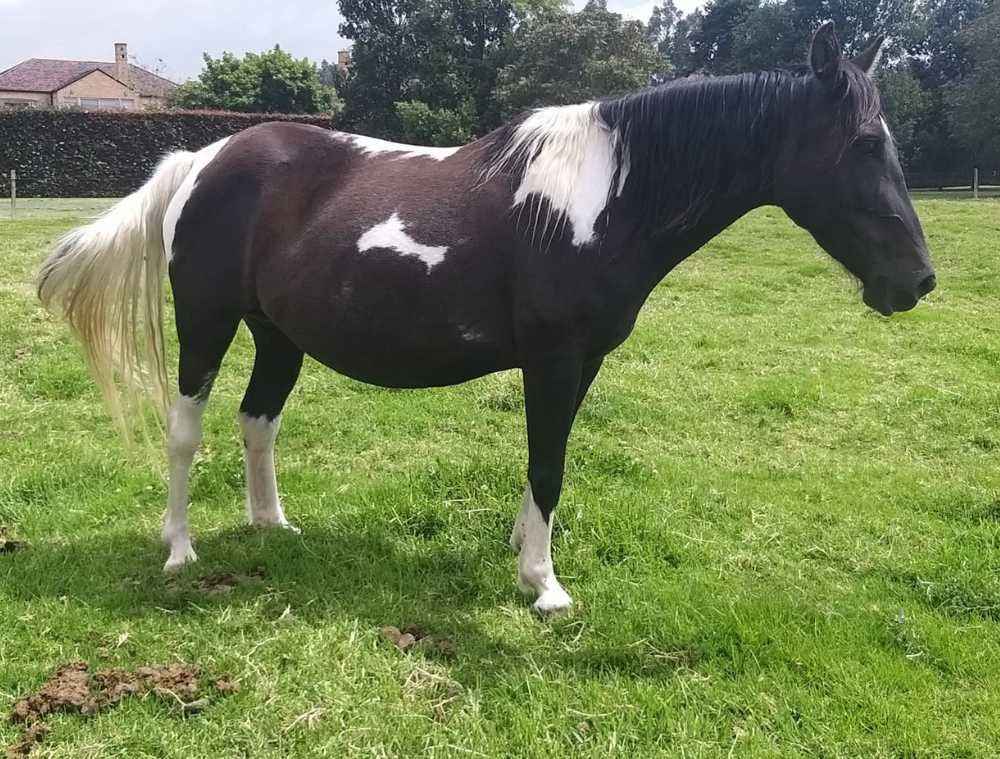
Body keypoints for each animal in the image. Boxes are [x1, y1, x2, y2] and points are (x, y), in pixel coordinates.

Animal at [38, 23, 935, 616]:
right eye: (863, 144)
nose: (918, 281)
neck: (605, 196)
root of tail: (203, 157)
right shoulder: (554, 358)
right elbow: (548, 464)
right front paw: (545, 585)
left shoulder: (583, 362)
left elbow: (549, 461)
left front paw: (523, 549)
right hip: (208, 321)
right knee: (185, 430)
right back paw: (179, 548)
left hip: (278, 335)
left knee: (258, 421)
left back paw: (273, 526)